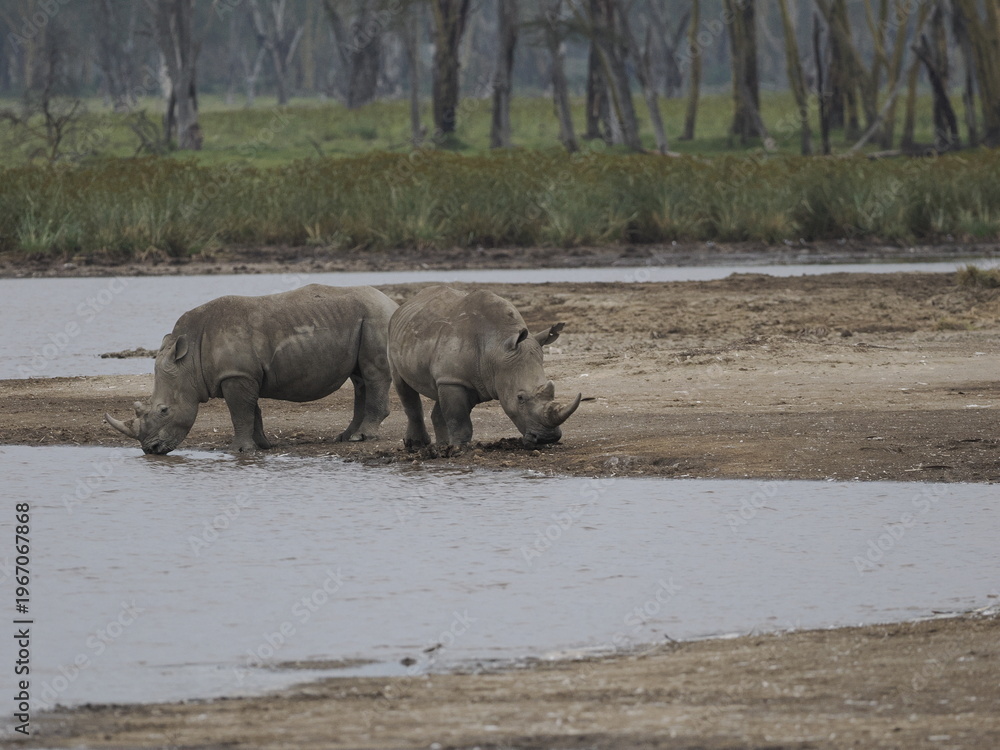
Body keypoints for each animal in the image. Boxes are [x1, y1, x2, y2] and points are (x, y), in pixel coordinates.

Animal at [105, 284, 397, 455]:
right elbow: (252, 411)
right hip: (364, 319)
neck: (188, 362)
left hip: (376, 317)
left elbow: (240, 413)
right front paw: (262, 445)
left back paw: (362, 437)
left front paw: (240, 450)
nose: (150, 449)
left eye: (164, 410)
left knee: (373, 375)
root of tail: (392, 302)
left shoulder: (236, 375)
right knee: (359, 379)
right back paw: (346, 437)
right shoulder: (243, 374)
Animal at [387, 285, 581, 449]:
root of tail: (404, 305)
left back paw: (441, 446)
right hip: (394, 336)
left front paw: (453, 447)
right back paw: (416, 446)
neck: (496, 349)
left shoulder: (462, 379)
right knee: (403, 386)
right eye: (520, 398)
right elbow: (459, 419)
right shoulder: (455, 380)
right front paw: (459, 449)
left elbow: (454, 414)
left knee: (437, 391)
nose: (547, 438)